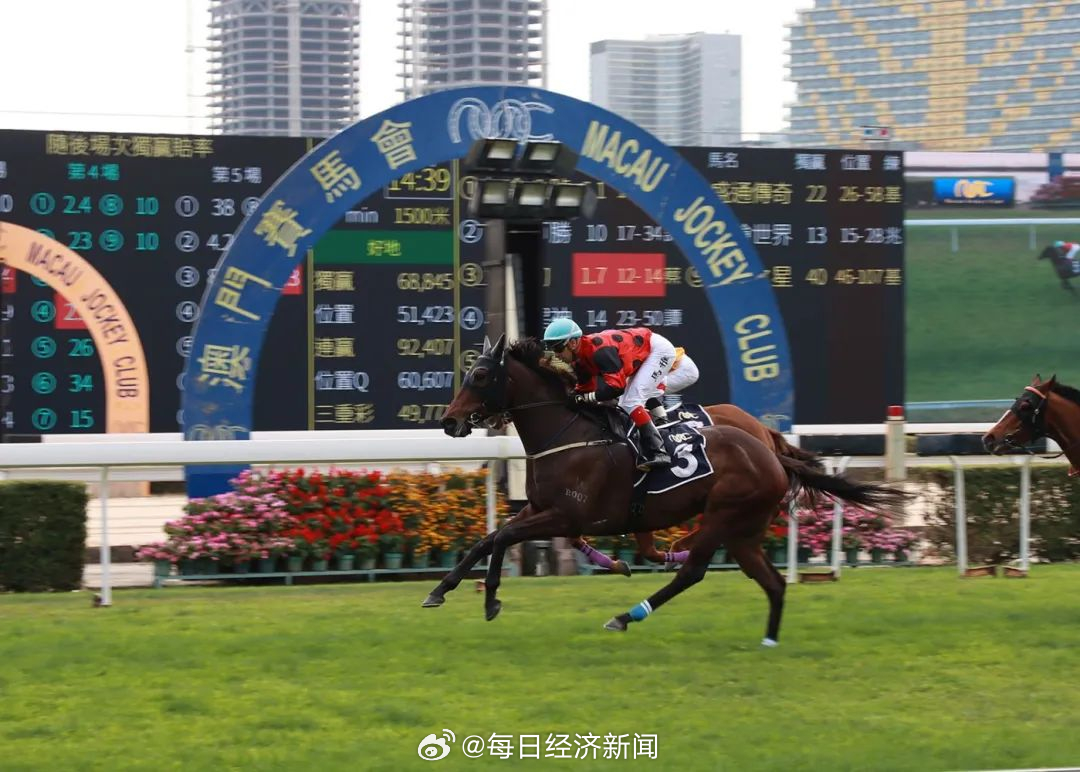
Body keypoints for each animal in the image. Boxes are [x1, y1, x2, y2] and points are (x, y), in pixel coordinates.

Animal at [428, 335, 907, 645]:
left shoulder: (566, 515)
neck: (568, 434)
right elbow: (488, 539)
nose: (449, 421)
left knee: (693, 570)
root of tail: (770, 451)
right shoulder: (540, 509)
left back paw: (628, 614)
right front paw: (441, 590)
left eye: (481, 375)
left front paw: (491, 599)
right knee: (769, 581)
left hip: (724, 514)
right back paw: (768, 639)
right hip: (743, 530)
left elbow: (503, 538)